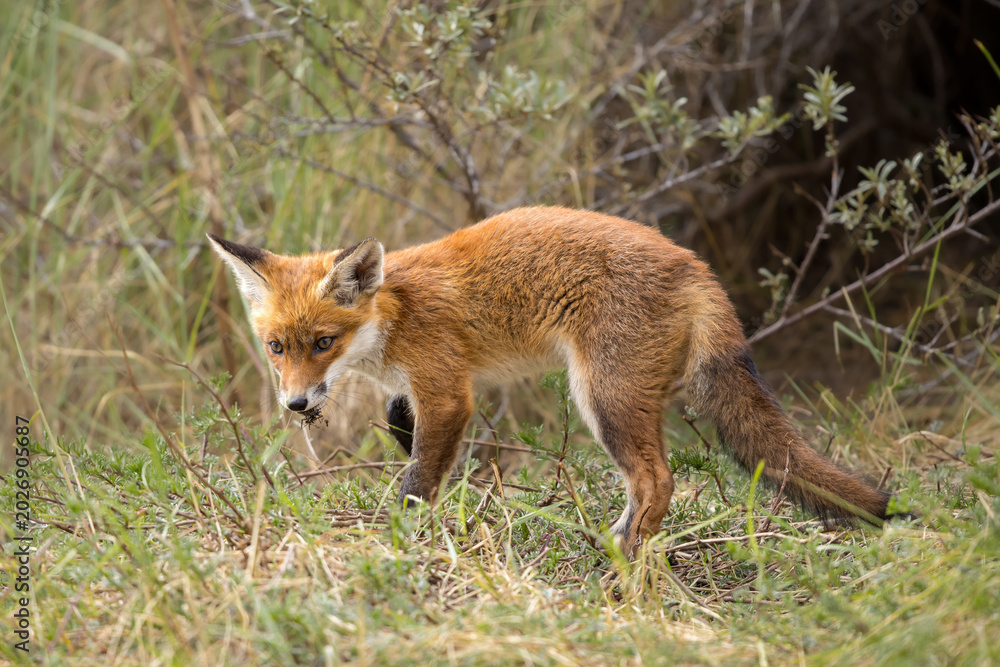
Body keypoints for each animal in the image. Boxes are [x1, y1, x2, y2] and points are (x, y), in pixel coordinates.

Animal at [208, 206, 900, 553]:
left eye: (324, 343)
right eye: (276, 348)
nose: (296, 403)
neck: (395, 313)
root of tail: (694, 264)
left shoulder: (448, 390)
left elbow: (418, 478)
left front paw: (402, 537)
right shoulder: (418, 390)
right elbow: (404, 429)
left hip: (603, 396)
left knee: (657, 480)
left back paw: (620, 561)